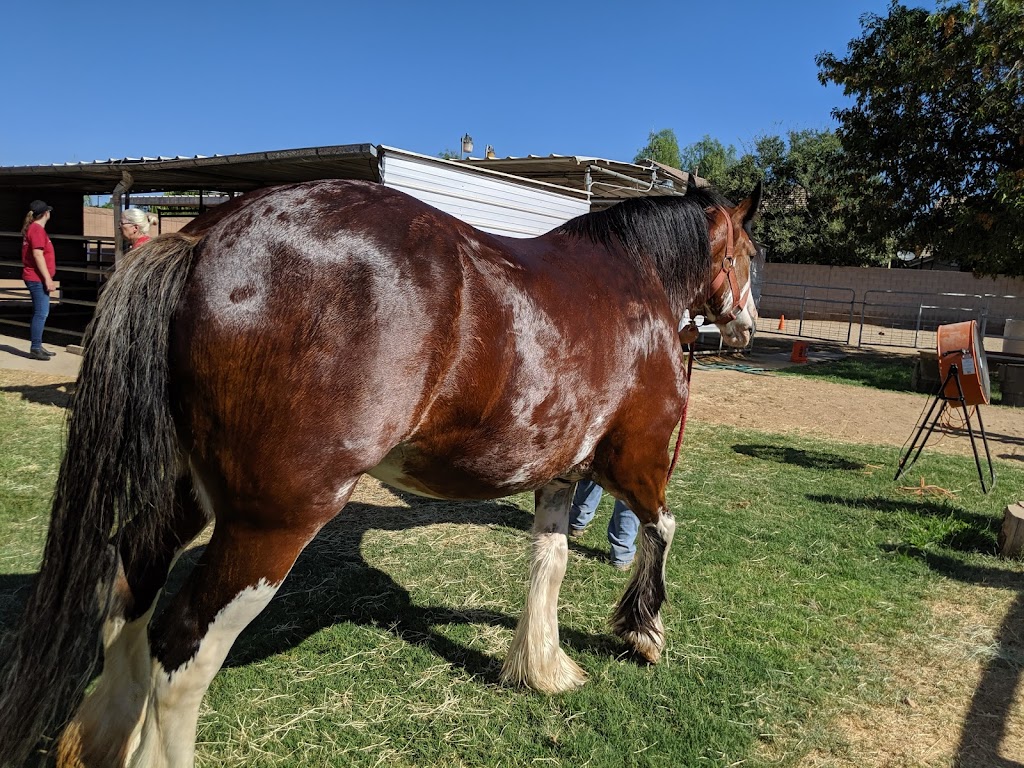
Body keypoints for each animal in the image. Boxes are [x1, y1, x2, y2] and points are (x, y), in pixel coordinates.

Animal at [0, 177, 761, 765]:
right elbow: (663, 528)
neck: (633, 282)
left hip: (190, 493)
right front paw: (642, 632)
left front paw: (541, 668)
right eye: (750, 252)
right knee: (183, 651)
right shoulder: (636, 460)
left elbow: (549, 562)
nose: (747, 327)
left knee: (131, 578)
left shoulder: (559, 473)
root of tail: (205, 238)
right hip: (271, 523)